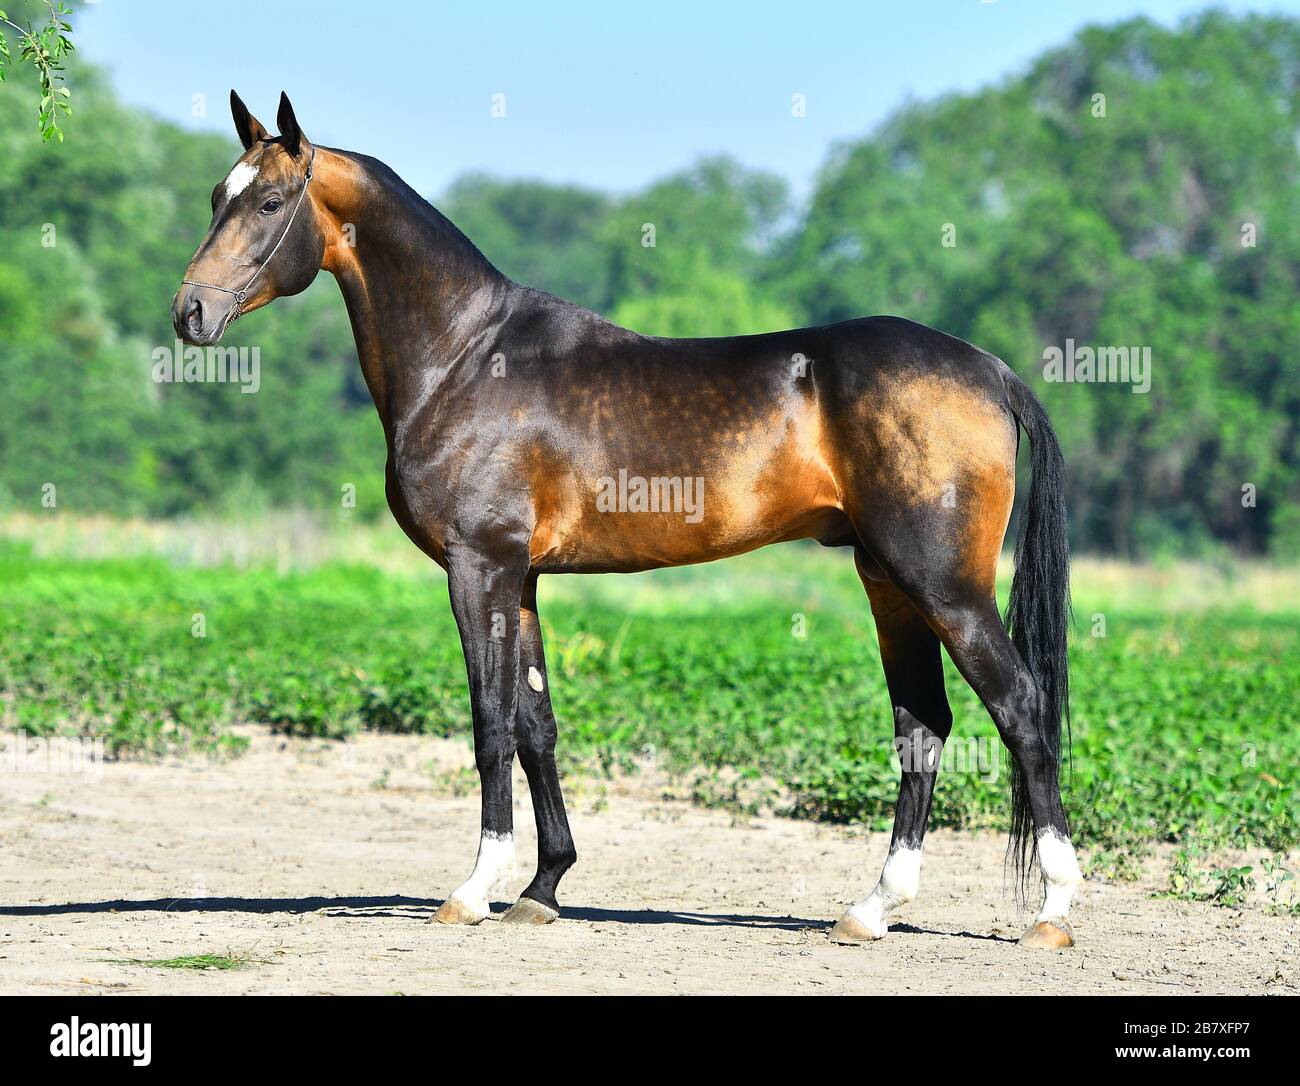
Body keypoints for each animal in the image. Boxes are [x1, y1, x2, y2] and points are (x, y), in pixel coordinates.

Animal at [175, 93, 1086, 952]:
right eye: (219, 194)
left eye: (269, 202)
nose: (189, 314)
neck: (467, 356)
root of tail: (989, 369)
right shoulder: (523, 580)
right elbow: (536, 725)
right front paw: (542, 889)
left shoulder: (479, 568)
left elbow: (488, 724)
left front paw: (474, 890)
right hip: (889, 582)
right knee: (923, 727)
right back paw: (872, 909)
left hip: (944, 586)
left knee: (1021, 710)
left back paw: (1052, 910)